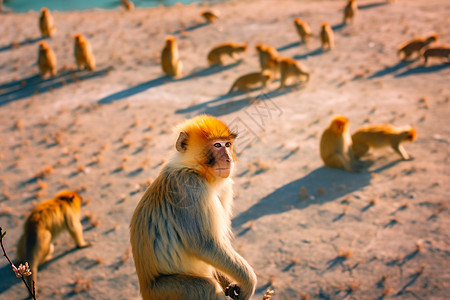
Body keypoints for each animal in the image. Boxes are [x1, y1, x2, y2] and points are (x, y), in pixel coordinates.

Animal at [130, 115, 256, 300]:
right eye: (217, 145)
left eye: (227, 144)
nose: (229, 159)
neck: (193, 168)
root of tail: (146, 289)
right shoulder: (190, 187)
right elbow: (205, 245)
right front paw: (249, 283)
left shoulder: (223, 188)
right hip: (165, 291)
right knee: (206, 287)